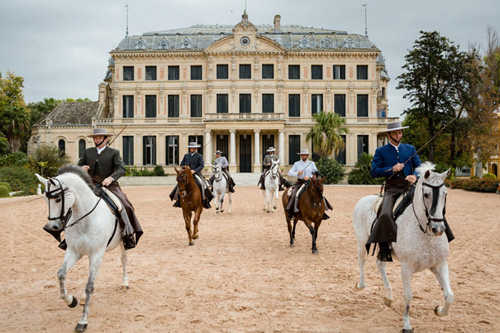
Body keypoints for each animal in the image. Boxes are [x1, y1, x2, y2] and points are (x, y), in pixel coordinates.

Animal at [35, 165, 128, 330]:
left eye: (58, 199)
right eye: (46, 199)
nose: (51, 227)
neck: (84, 218)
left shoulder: (96, 254)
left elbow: (90, 286)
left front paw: (83, 321)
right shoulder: (74, 251)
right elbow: (61, 274)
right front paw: (71, 300)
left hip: (122, 243)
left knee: (123, 259)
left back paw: (124, 283)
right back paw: (83, 298)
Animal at [352, 161, 454, 332]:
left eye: (445, 194)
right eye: (426, 194)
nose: (438, 229)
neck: (425, 233)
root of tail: (363, 200)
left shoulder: (440, 265)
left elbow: (449, 296)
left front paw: (439, 310)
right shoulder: (406, 268)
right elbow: (408, 295)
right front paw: (406, 324)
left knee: (380, 264)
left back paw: (388, 296)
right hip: (361, 241)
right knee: (361, 261)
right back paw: (361, 285)